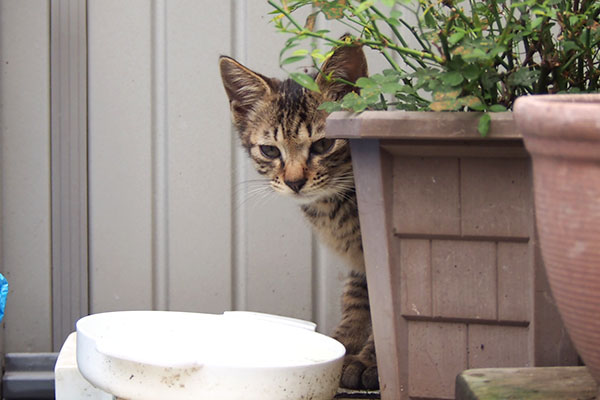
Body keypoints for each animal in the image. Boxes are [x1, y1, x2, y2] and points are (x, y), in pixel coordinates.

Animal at [220, 44, 380, 390]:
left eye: (324, 144)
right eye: (270, 150)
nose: (294, 182)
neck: (333, 208)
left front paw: (370, 361)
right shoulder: (360, 263)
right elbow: (357, 299)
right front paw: (340, 344)